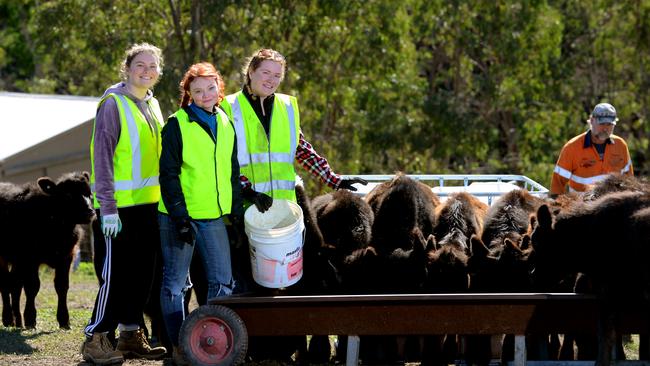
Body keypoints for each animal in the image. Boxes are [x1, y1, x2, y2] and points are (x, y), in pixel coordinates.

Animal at [0, 172, 95, 328]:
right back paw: (8, 319)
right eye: (68, 194)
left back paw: (17, 321)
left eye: (89, 194)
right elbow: (32, 286)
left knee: (15, 285)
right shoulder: (31, 259)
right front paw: (30, 318)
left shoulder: (66, 257)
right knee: (5, 284)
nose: (90, 212)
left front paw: (64, 320)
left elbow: (62, 285)